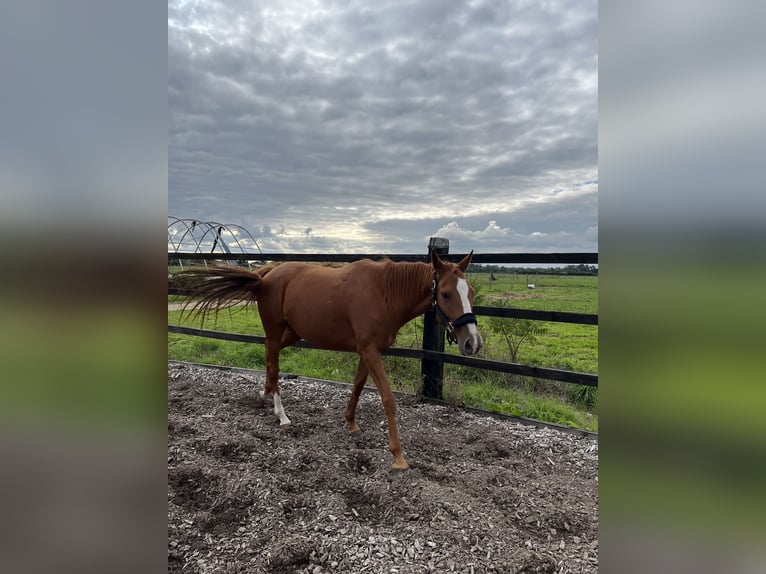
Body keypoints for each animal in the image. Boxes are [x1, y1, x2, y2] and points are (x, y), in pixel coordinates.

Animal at [175, 249, 483, 470]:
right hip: (276, 332)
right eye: (445, 293)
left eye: (470, 292)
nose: (473, 342)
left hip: (291, 334)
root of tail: (267, 274)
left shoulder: (368, 351)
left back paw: (265, 396)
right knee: (274, 364)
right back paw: (282, 415)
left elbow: (358, 386)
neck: (384, 293)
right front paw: (398, 456)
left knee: (269, 360)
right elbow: (387, 399)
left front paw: (351, 423)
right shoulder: (370, 351)